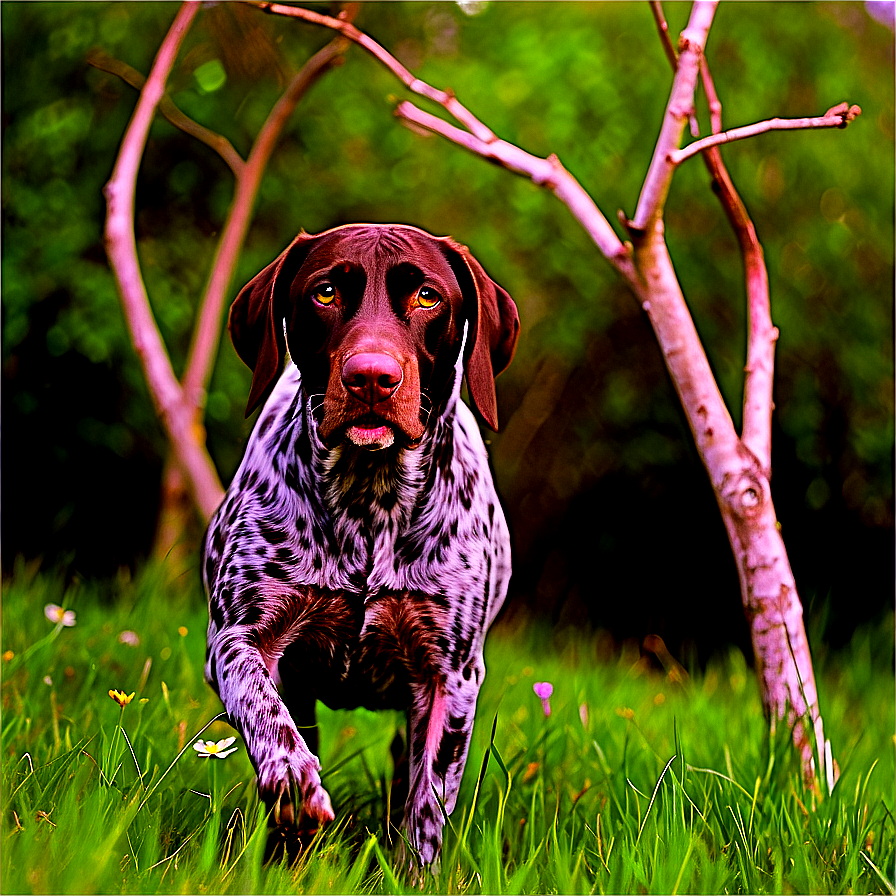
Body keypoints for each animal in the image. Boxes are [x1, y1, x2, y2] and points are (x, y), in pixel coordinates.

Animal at [205, 224, 520, 868]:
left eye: (428, 297)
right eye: (325, 292)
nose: (371, 377)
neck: (369, 500)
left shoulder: (451, 677)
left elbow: (427, 802)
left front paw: (412, 871)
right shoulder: (237, 637)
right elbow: (262, 706)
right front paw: (292, 780)